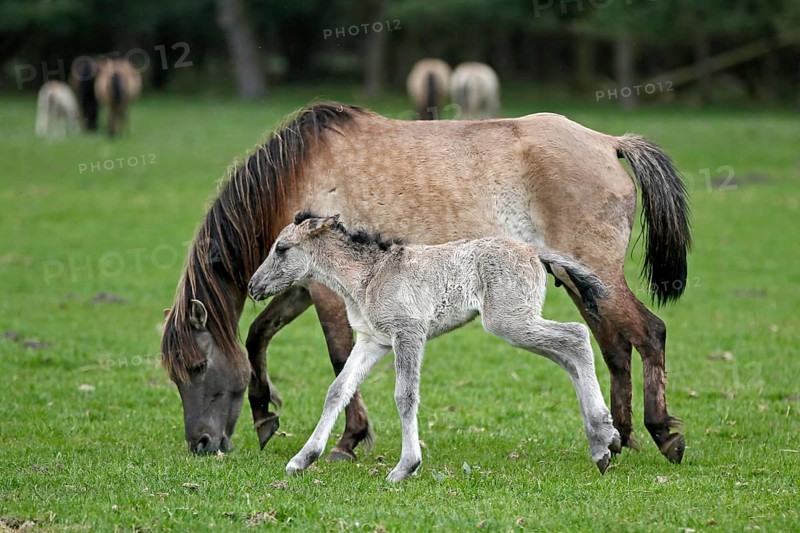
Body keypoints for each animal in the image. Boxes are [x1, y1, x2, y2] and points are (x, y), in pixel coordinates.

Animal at [248, 213, 621, 481]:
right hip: (518, 322)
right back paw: (602, 444)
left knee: (576, 337)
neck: (369, 277)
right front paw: (302, 459)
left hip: (510, 321)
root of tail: (533, 251)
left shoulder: (408, 333)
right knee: (568, 355)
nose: (253, 286)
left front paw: (405, 467)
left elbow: (405, 395)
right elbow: (338, 390)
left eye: (281, 248)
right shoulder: (372, 342)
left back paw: (604, 436)